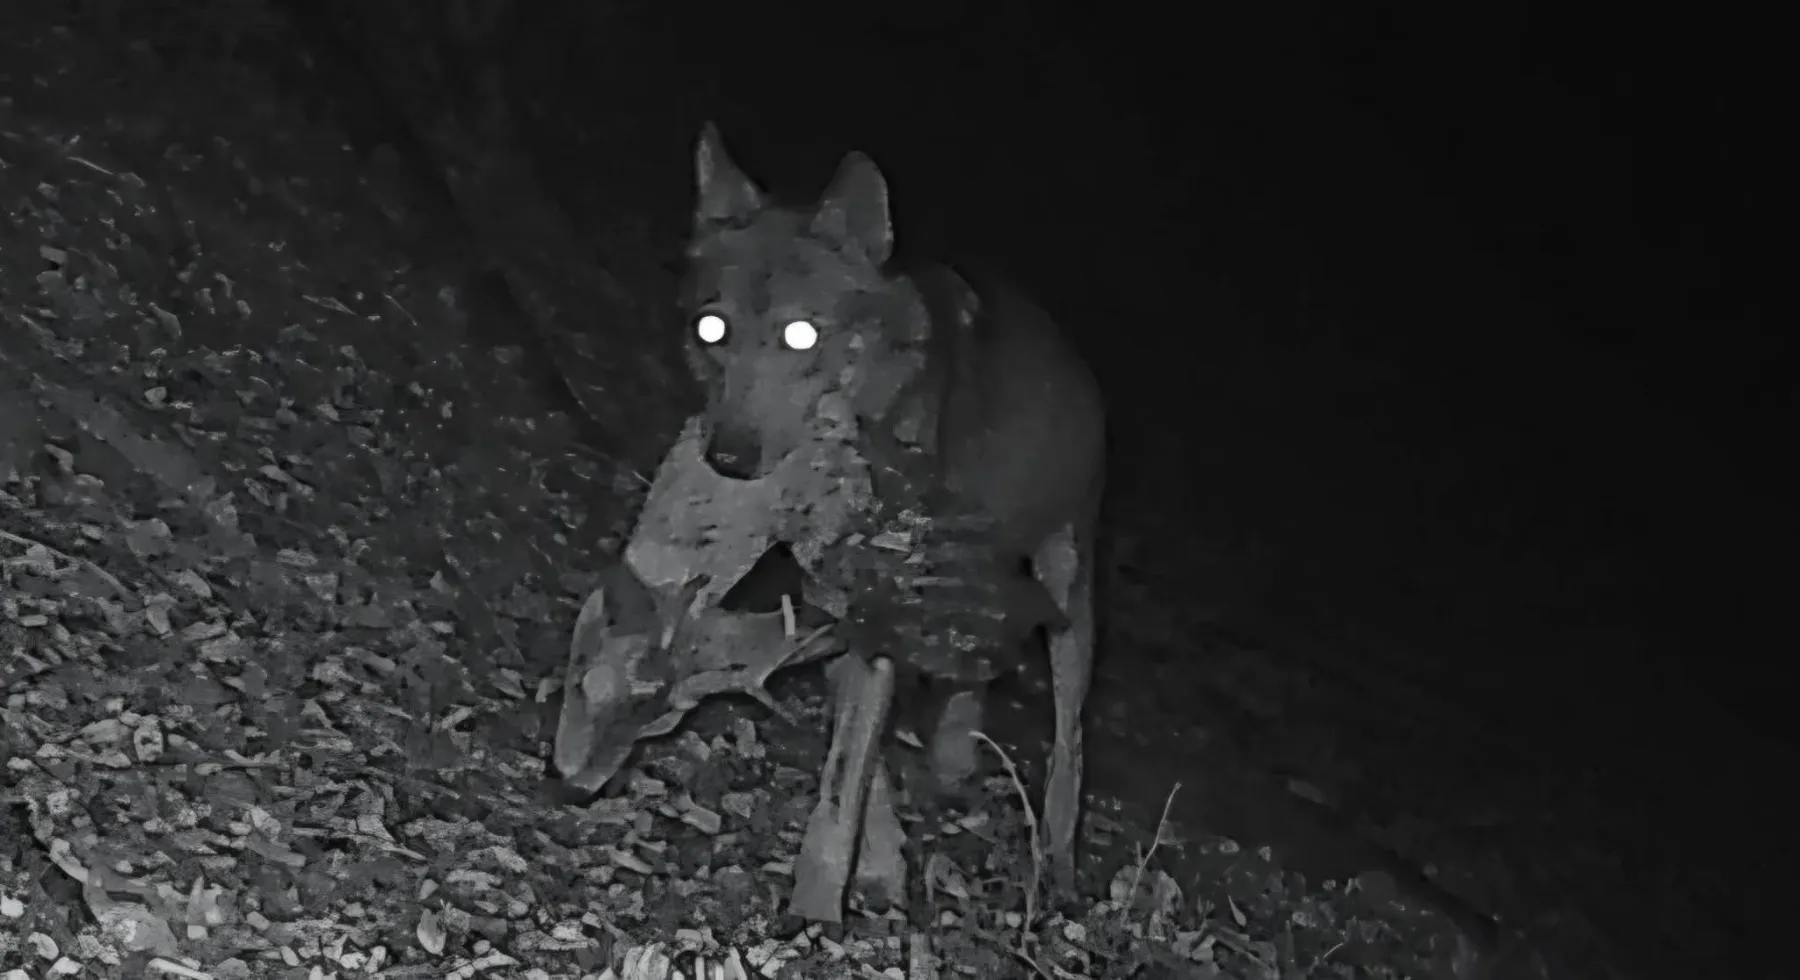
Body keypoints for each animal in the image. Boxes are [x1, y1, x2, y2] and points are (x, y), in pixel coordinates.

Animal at [679, 122, 1107, 892]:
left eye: (801, 335)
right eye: (710, 331)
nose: (728, 459)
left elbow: (846, 775)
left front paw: (818, 900)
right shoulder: (837, 602)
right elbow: (862, 767)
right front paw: (878, 870)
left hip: (1066, 594)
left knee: (1071, 737)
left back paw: (1056, 859)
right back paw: (954, 762)